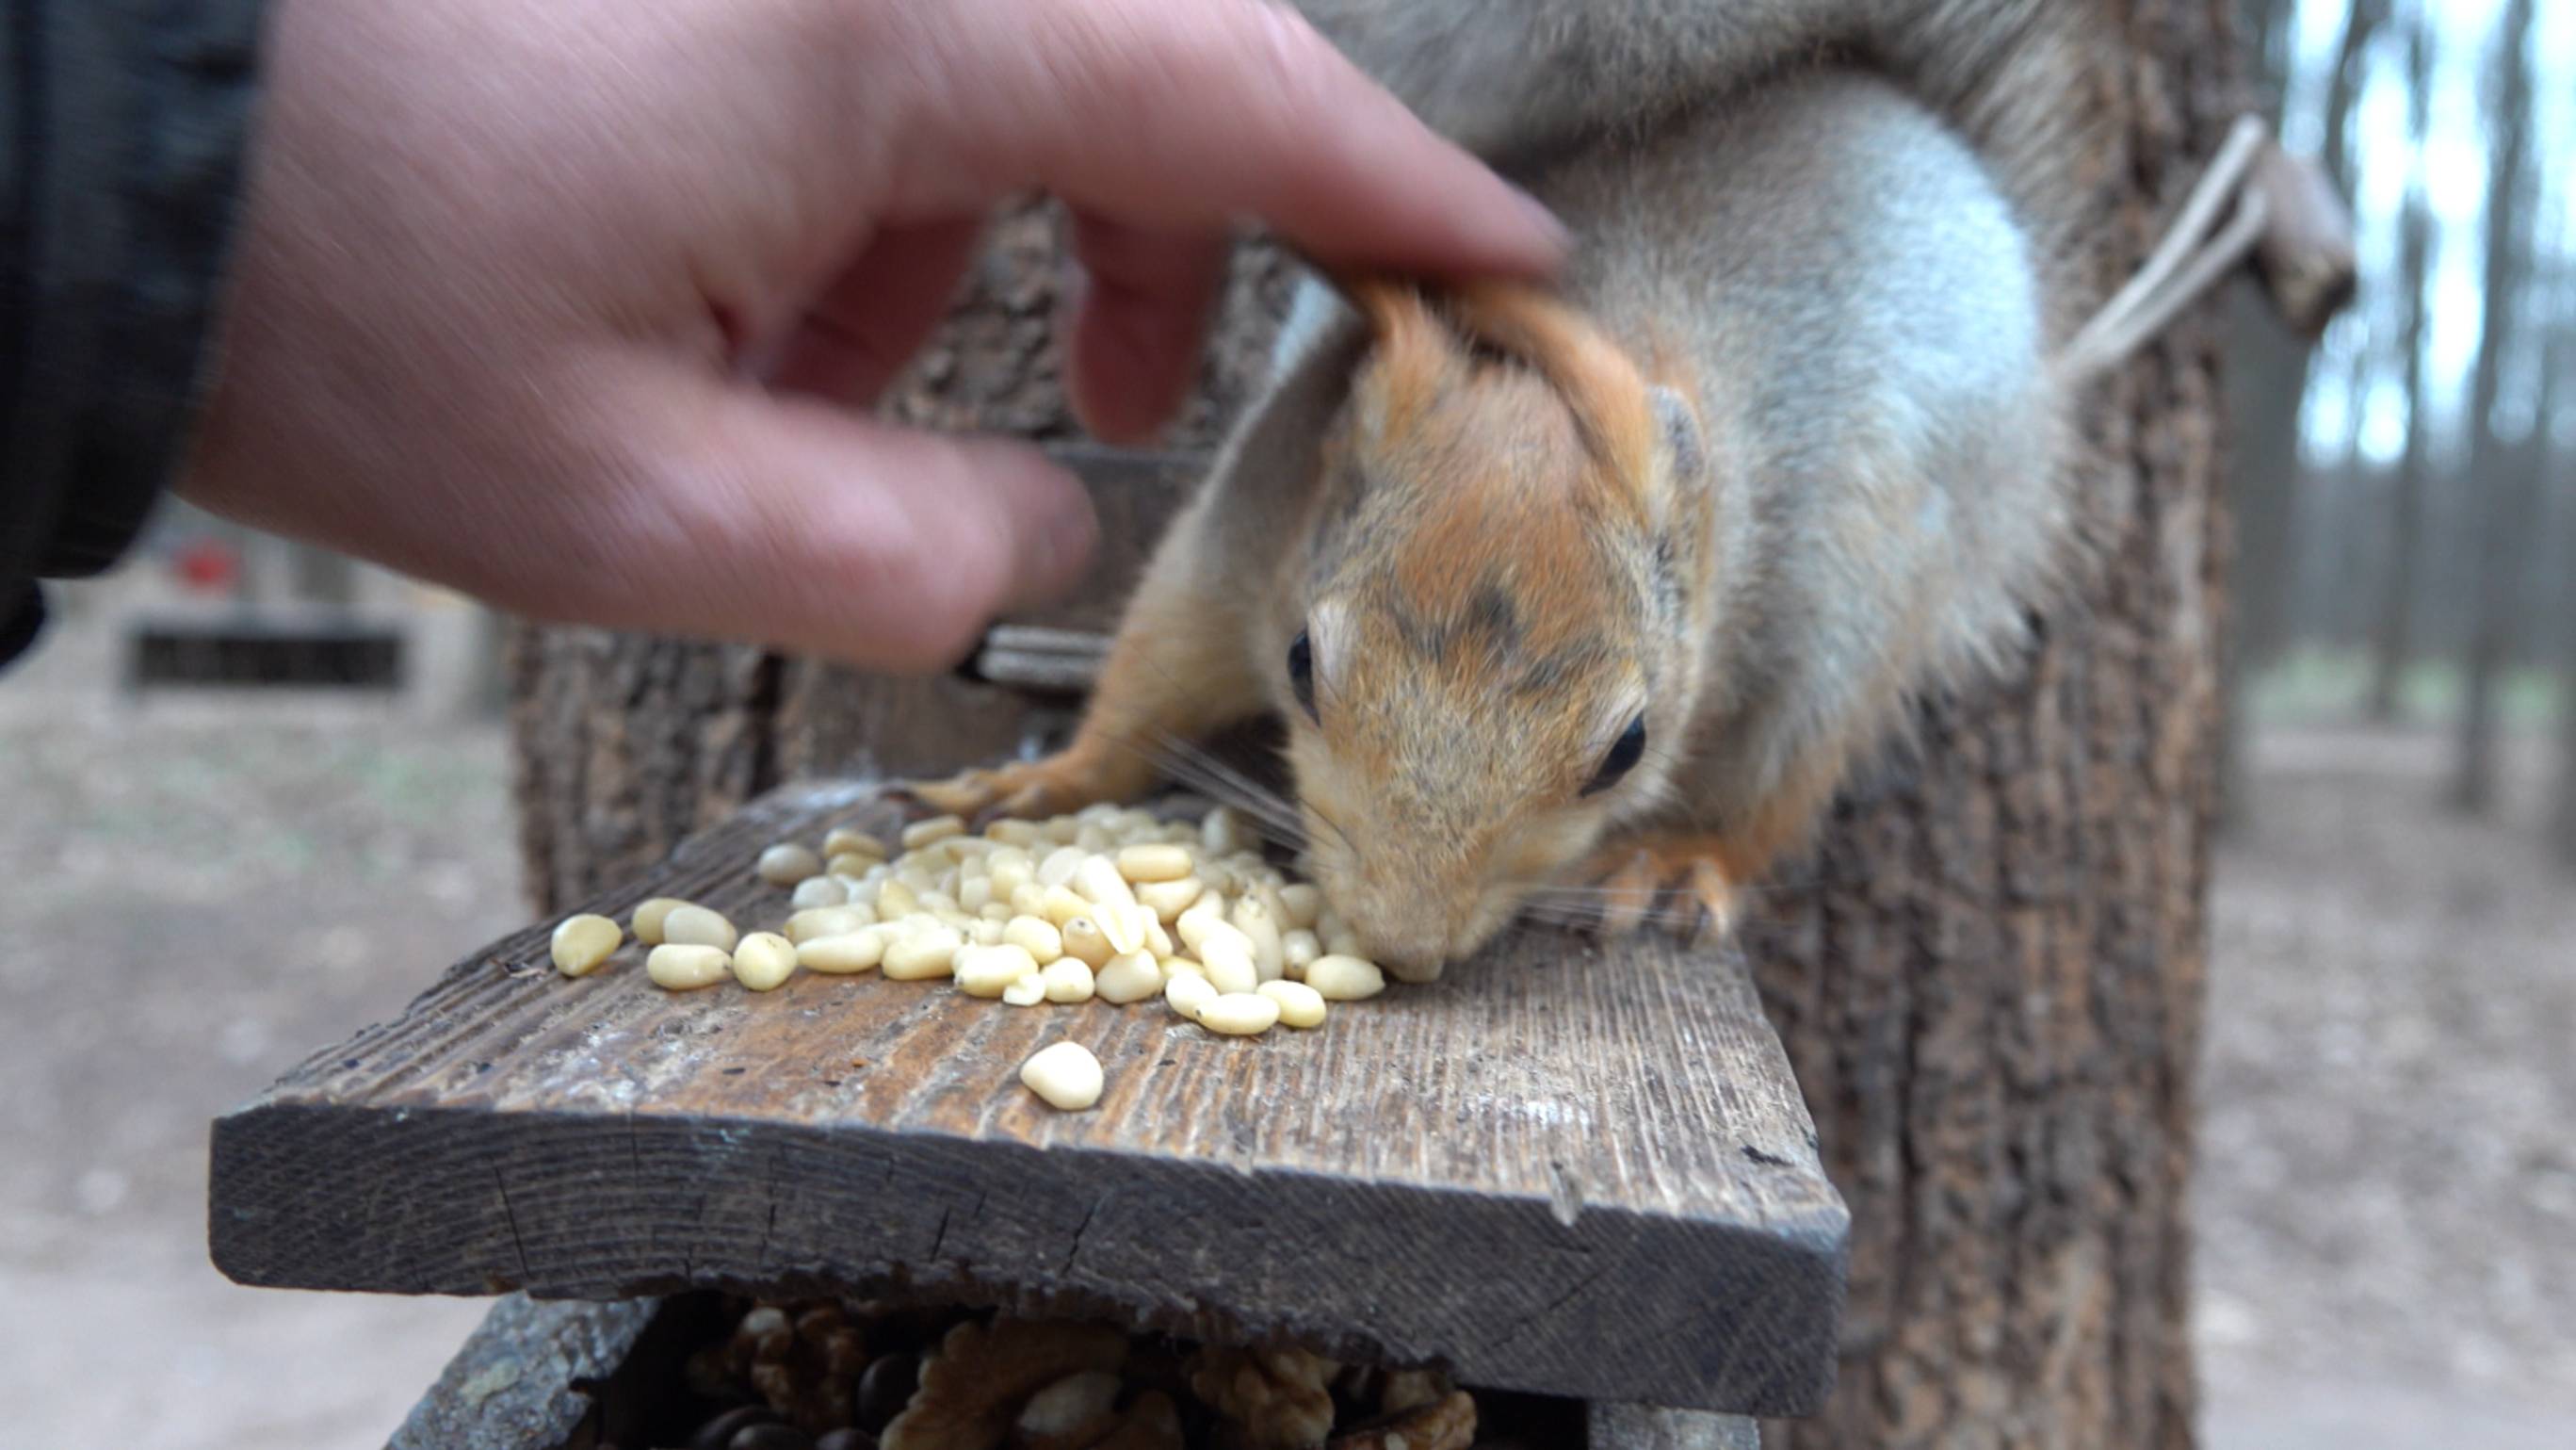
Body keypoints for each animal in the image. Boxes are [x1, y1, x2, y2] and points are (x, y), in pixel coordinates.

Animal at [912, 1, 2321, 980]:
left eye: (1627, 748)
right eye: (1303, 666)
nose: (1402, 947)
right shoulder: (1250, 520)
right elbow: (1154, 662)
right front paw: (1037, 783)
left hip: (1871, 607)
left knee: (1789, 772)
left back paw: (1685, 862)